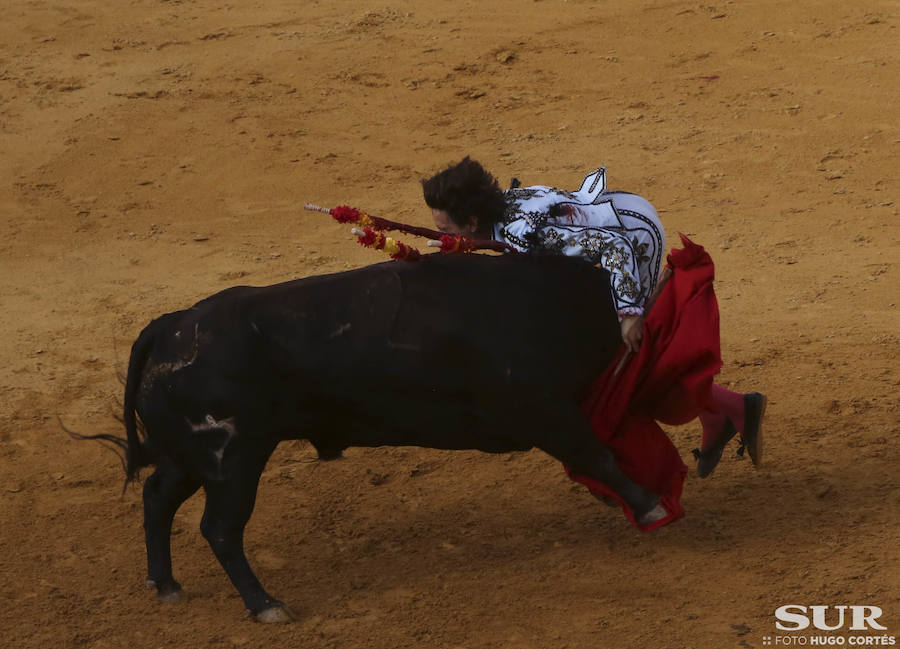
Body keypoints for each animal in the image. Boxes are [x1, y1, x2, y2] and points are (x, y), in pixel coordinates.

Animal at [116, 251, 664, 620]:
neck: (554, 301)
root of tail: (170, 325)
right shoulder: (544, 409)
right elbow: (597, 453)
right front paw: (649, 506)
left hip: (190, 457)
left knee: (158, 496)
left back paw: (164, 584)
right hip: (232, 460)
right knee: (221, 528)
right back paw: (266, 605)